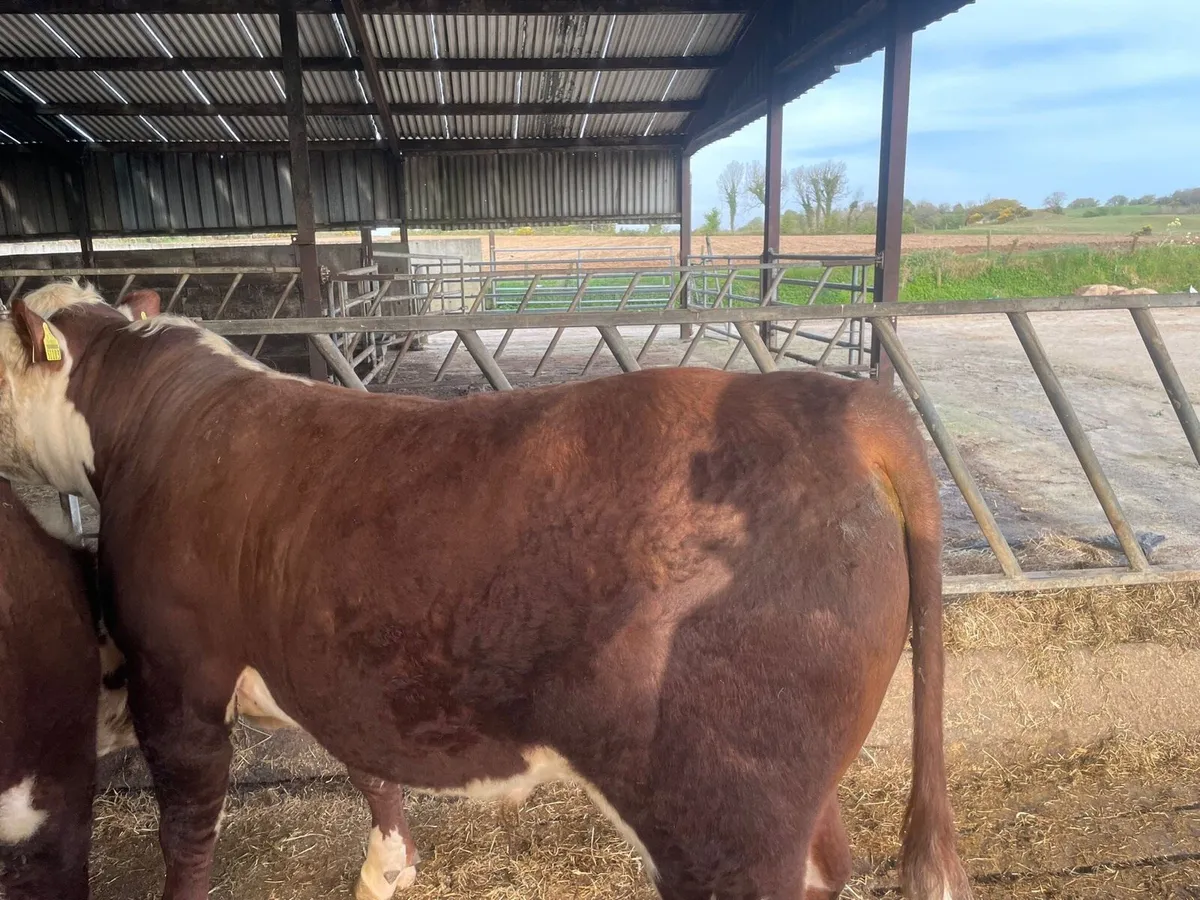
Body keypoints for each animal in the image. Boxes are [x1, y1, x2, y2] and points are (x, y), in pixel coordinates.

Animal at [0, 280, 973, 900]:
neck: (152, 415)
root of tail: (838, 405)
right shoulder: (341, 662)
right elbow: (368, 761)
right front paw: (387, 869)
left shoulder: (176, 676)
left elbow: (189, 826)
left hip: (724, 811)